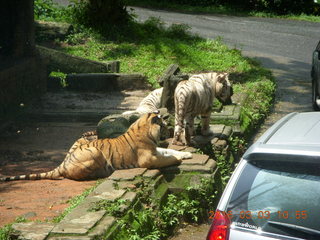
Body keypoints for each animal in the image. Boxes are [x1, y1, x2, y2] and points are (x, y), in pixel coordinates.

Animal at [0, 111, 192, 181]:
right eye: (164, 126)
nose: (168, 132)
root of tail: (62, 163)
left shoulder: (155, 149)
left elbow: (168, 150)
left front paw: (186, 155)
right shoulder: (149, 158)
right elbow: (167, 158)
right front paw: (177, 159)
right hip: (93, 150)